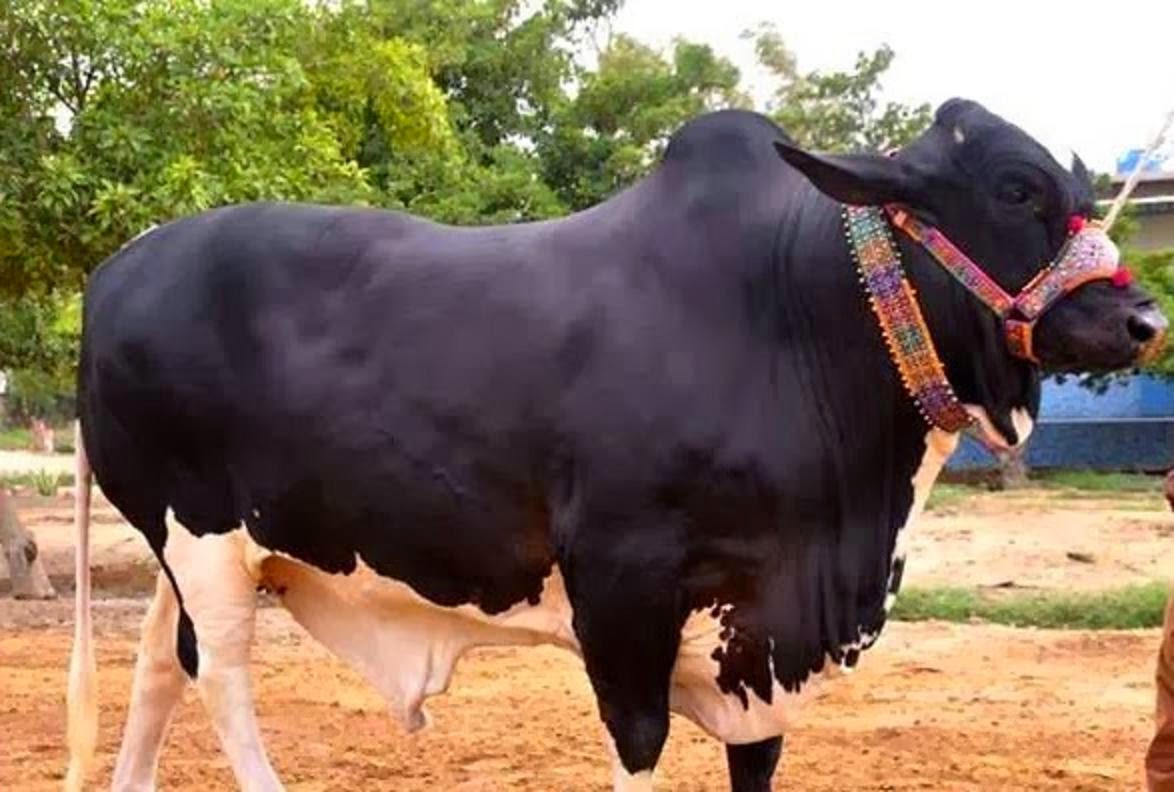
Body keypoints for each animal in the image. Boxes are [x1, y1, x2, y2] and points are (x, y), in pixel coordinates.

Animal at [66, 98, 1167, 791]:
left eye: (1076, 188)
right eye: (1016, 188)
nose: (1143, 320)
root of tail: (116, 267)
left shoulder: (762, 630)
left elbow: (756, 759)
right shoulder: (622, 583)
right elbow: (637, 745)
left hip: (192, 545)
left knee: (158, 666)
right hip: (202, 537)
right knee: (217, 675)